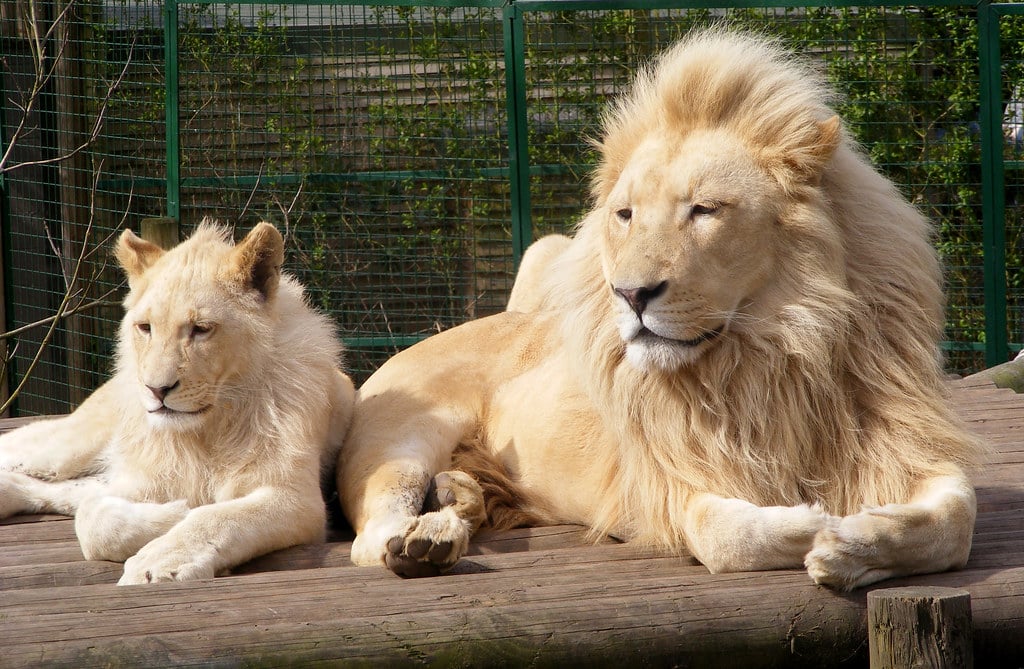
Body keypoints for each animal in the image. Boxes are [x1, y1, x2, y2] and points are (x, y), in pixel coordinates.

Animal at [0, 221, 355, 585]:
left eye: (201, 329)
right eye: (145, 328)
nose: (156, 389)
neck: (208, 428)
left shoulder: (296, 499)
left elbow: (214, 518)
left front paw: (156, 562)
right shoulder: (141, 478)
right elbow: (94, 520)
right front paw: (175, 514)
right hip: (63, 450)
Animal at [338, 29, 984, 589]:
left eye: (704, 209)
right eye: (625, 215)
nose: (631, 294)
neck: (774, 353)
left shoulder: (906, 445)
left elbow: (958, 517)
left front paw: (858, 542)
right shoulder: (662, 483)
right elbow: (724, 531)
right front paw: (818, 523)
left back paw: (452, 510)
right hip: (397, 444)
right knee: (370, 540)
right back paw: (423, 544)